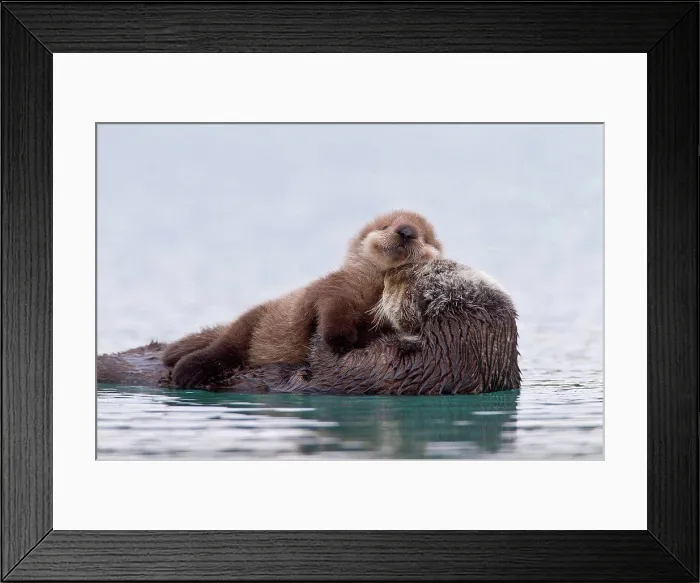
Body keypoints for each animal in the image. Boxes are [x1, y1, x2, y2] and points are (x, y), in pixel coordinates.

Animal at [164, 211, 443, 388]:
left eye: (424, 237)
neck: (375, 288)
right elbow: (331, 310)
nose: (406, 231)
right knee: (223, 348)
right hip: (248, 325)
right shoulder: (336, 288)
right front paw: (340, 340)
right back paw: (187, 370)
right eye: (385, 226)